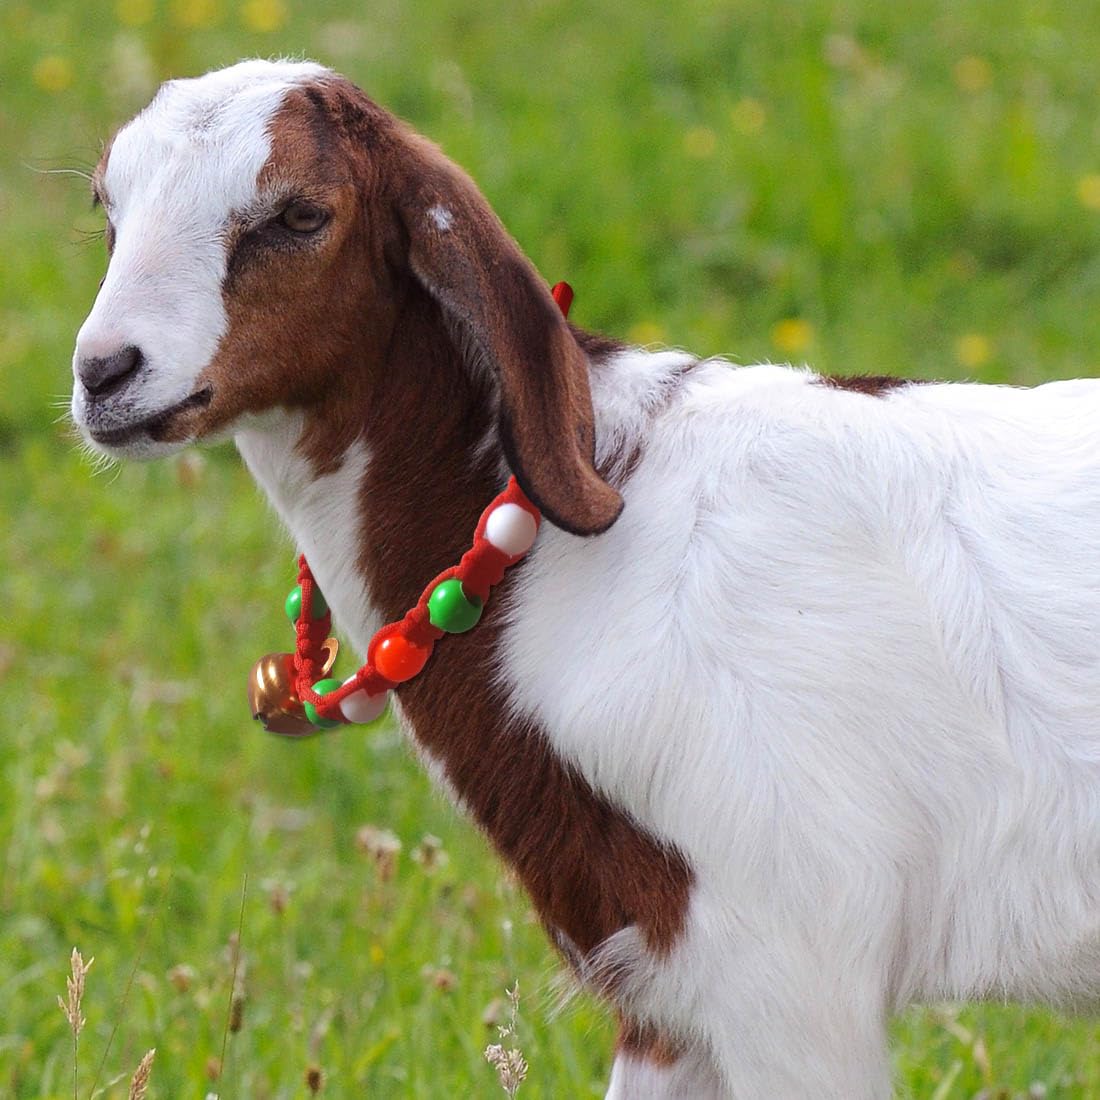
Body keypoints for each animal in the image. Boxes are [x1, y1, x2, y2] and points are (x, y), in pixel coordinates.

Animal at [70, 60, 1100, 1098]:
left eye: (298, 214)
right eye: (107, 204)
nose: (105, 373)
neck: (582, 543)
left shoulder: (793, 950)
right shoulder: (661, 978)